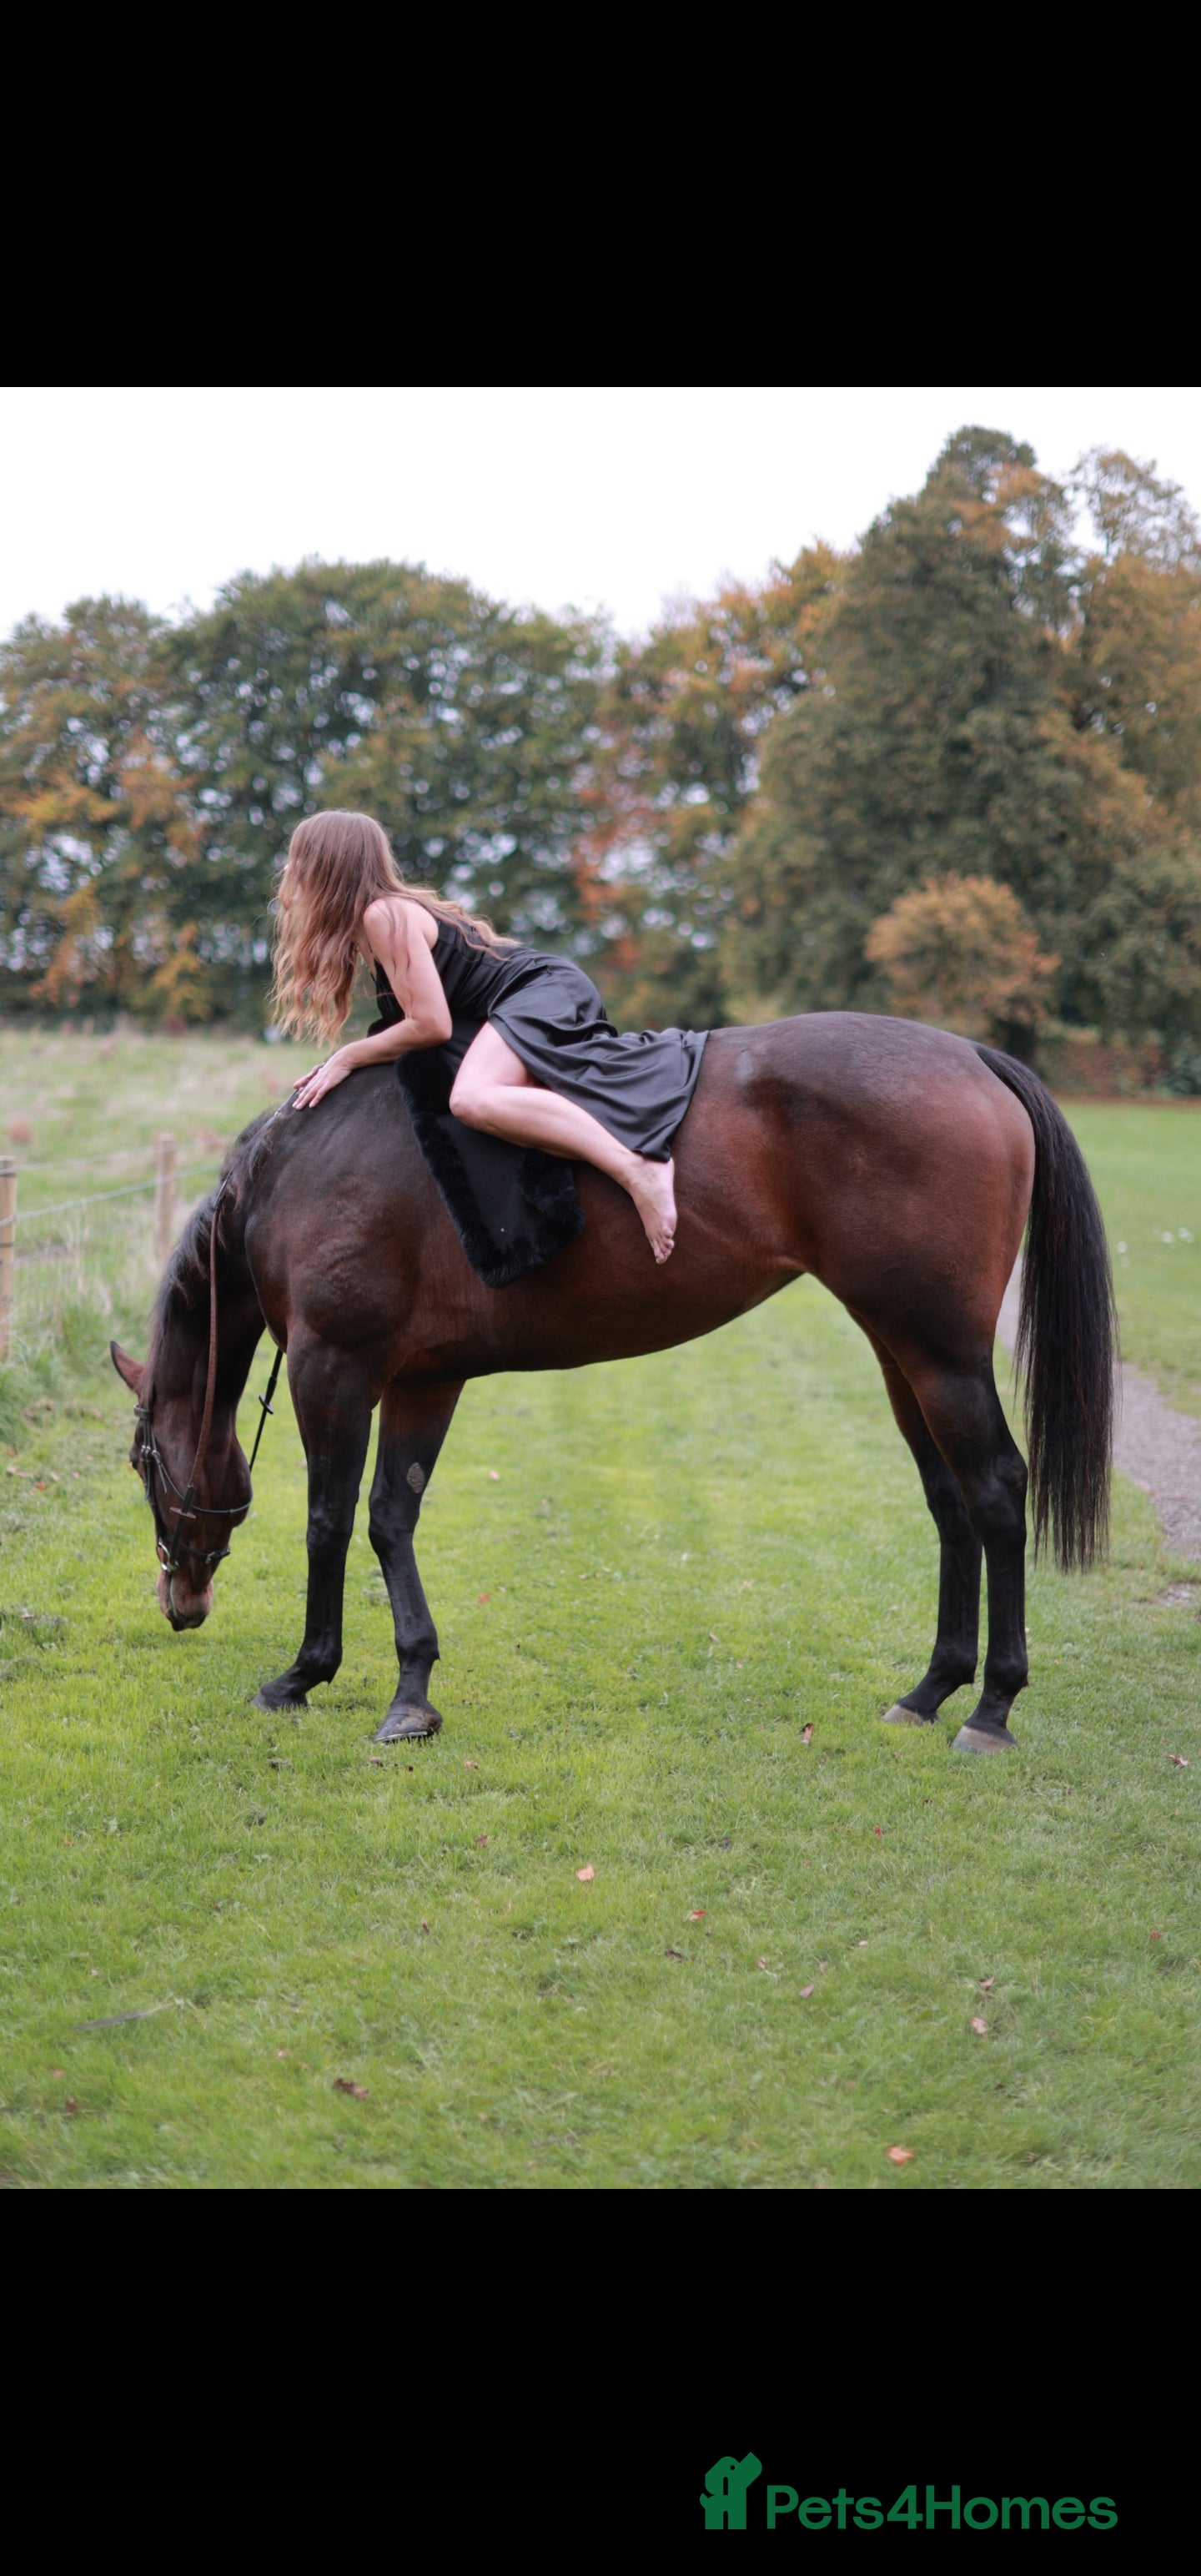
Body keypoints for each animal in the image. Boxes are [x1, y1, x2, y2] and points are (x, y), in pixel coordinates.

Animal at [110, 1013, 1114, 1754]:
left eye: (142, 1461)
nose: (180, 1603)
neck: (306, 1166)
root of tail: (972, 1056)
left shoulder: (337, 1369)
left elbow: (327, 1521)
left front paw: (304, 1672)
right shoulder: (426, 1381)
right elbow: (393, 1521)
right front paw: (413, 1689)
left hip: (940, 1354)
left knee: (995, 1494)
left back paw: (991, 1709)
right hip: (900, 1352)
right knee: (950, 1502)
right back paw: (931, 1689)